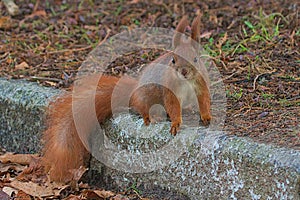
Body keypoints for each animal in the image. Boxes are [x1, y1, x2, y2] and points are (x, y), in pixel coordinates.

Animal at [42, 14, 212, 183]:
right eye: (173, 60)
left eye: (196, 59)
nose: (184, 72)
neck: (186, 81)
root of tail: (134, 90)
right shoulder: (169, 90)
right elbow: (173, 106)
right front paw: (176, 123)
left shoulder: (201, 86)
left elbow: (204, 100)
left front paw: (206, 117)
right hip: (146, 95)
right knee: (140, 106)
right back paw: (152, 116)